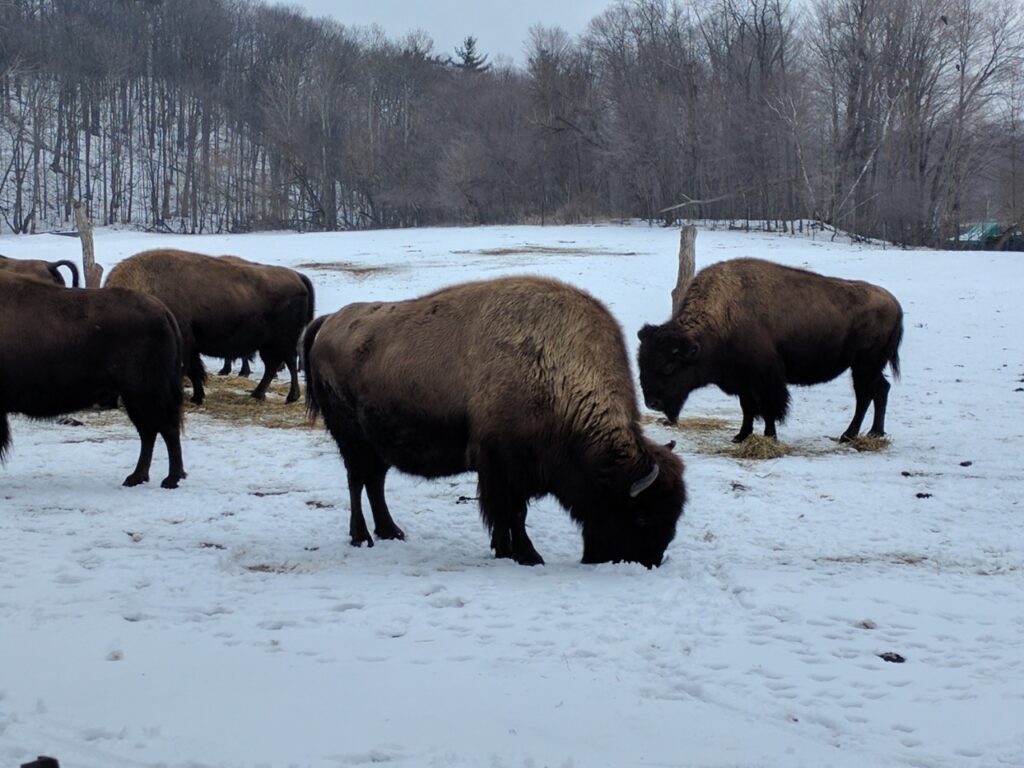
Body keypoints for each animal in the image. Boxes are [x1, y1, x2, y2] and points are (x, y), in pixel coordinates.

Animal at [0, 272, 186, 488]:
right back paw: (136, 477)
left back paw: (170, 479)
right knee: (150, 432)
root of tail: (163, 311)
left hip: (145, 394)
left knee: (166, 429)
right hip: (135, 398)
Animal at [105, 249, 315, 405]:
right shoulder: (190, 348)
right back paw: (257, 394)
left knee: (288, 363)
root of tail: (297, 276)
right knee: (273, 366)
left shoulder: (184, 345)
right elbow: (194, 370)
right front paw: (197, 397)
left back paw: (289, 397)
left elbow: (190, 370)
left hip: (282, 341)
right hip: (269, 344)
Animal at [303, 276, 686, 567]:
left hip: (376, 444)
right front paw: (527, 555)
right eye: (641, 516)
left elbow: (513, 514)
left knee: (374, 483)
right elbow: (513, 513)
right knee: (357, 482)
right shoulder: (503, 468)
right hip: (352, 441)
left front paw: (509, 550)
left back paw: (391, 532)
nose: (648, 561)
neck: (556, 370)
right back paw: (362, 537)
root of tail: (330, 321)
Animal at [637, 257, 903, 443]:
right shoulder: (743, 381)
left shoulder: (765, 378)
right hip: (868, 367)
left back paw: (849, 435)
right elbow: (748, 409)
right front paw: (740, 436)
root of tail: (895, 304)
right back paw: (875, 433)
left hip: (864, 366)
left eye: (669, 366)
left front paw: (769, 436)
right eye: (642, 364)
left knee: (865, 395)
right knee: (881, 389)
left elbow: (768, 408)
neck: (722, 318)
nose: (652, 402)